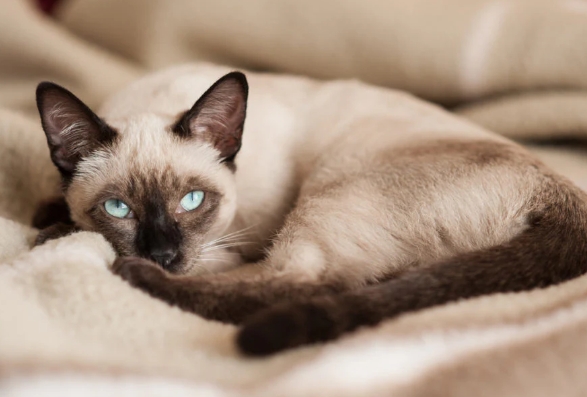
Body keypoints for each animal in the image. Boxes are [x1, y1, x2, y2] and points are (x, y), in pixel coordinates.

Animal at [34, 62, 587, 356]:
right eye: (118, 207)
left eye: (192, 201)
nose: (163, 255)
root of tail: (561, 189)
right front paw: (49, 216)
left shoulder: (233, 242)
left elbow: (233, 264)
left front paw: (57, 232)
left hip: (331, 191)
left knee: (309, 284)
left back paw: (139, 277)